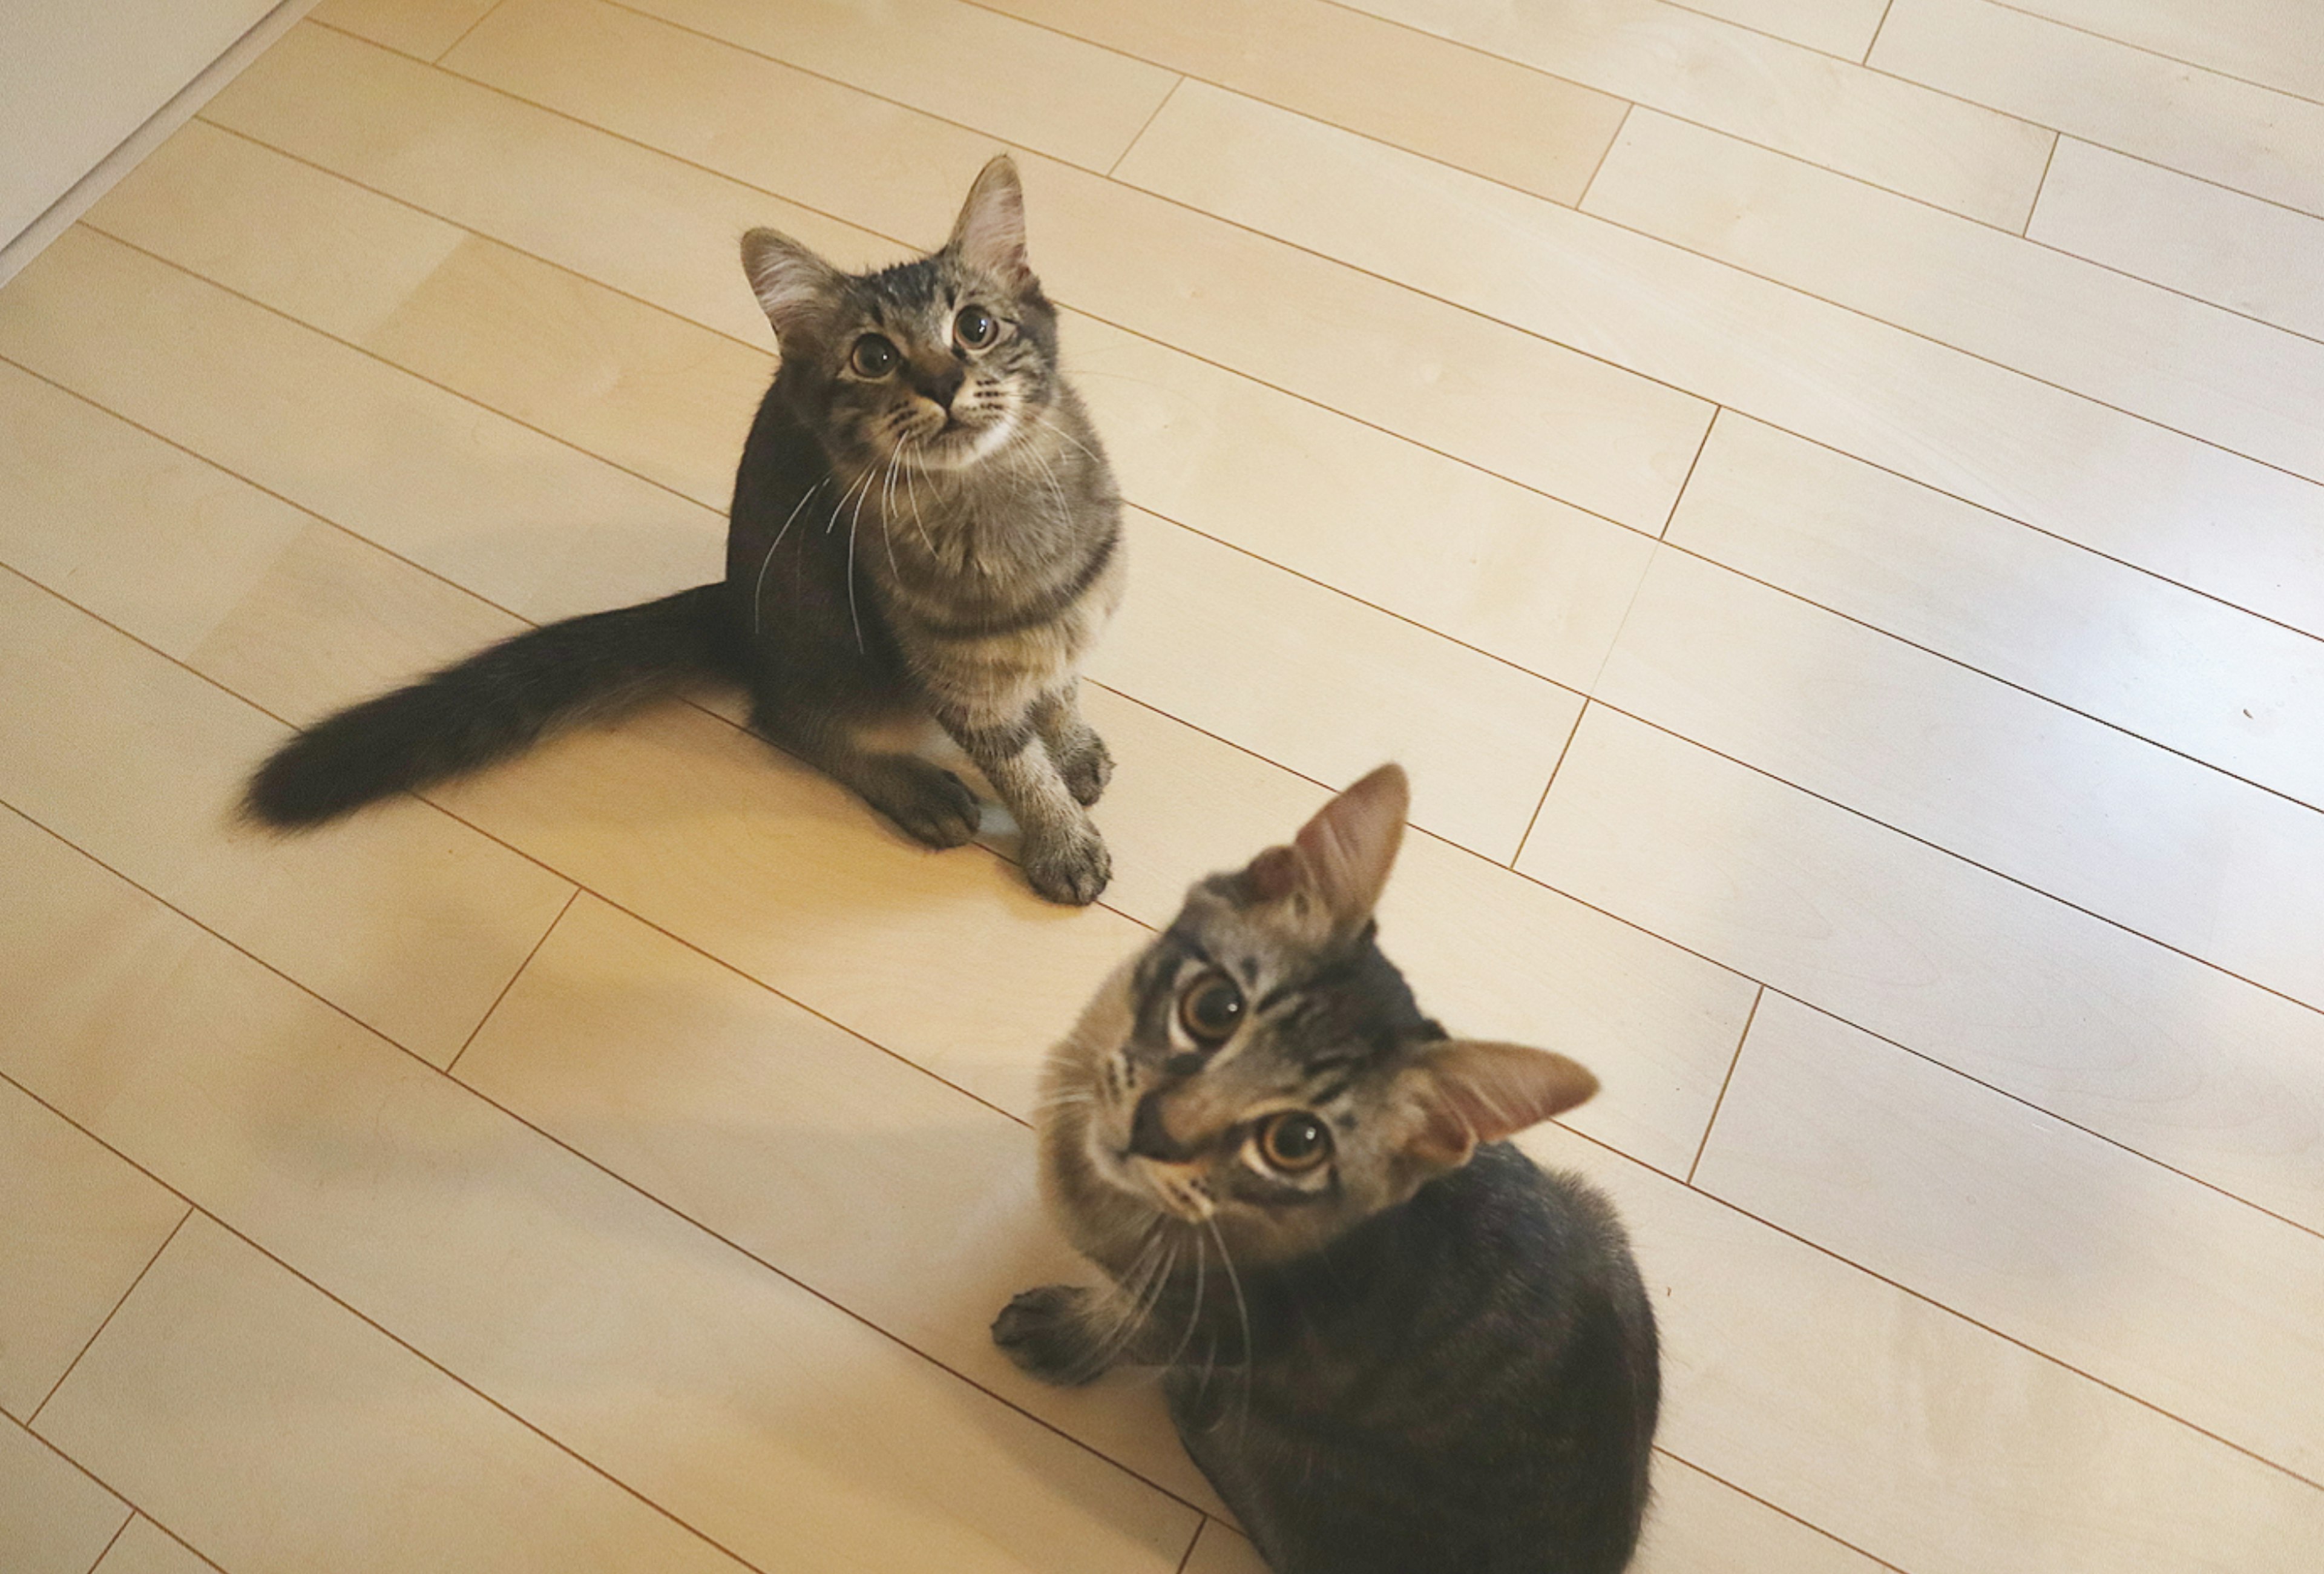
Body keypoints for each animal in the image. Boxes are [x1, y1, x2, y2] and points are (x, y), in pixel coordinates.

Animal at [245, 157, 1124, 906]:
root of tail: (733, 603)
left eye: (976, 327)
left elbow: (1061, 686)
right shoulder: (958, 683)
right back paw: (913, 787)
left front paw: (1071, 746)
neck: (999, 504)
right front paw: (1061, 841)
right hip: (841, 654)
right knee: (783, 719)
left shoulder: (1073, 615)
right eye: (874, 357)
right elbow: (1018, 768)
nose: (943, 383)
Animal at [999, 762, 1673, 1562]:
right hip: (1595, 1215)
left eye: (1297, 1142)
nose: (1156, 1129)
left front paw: (1066, 1333)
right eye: (1215, 1007)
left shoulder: (1222, 1332)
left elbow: (1129, 1328)